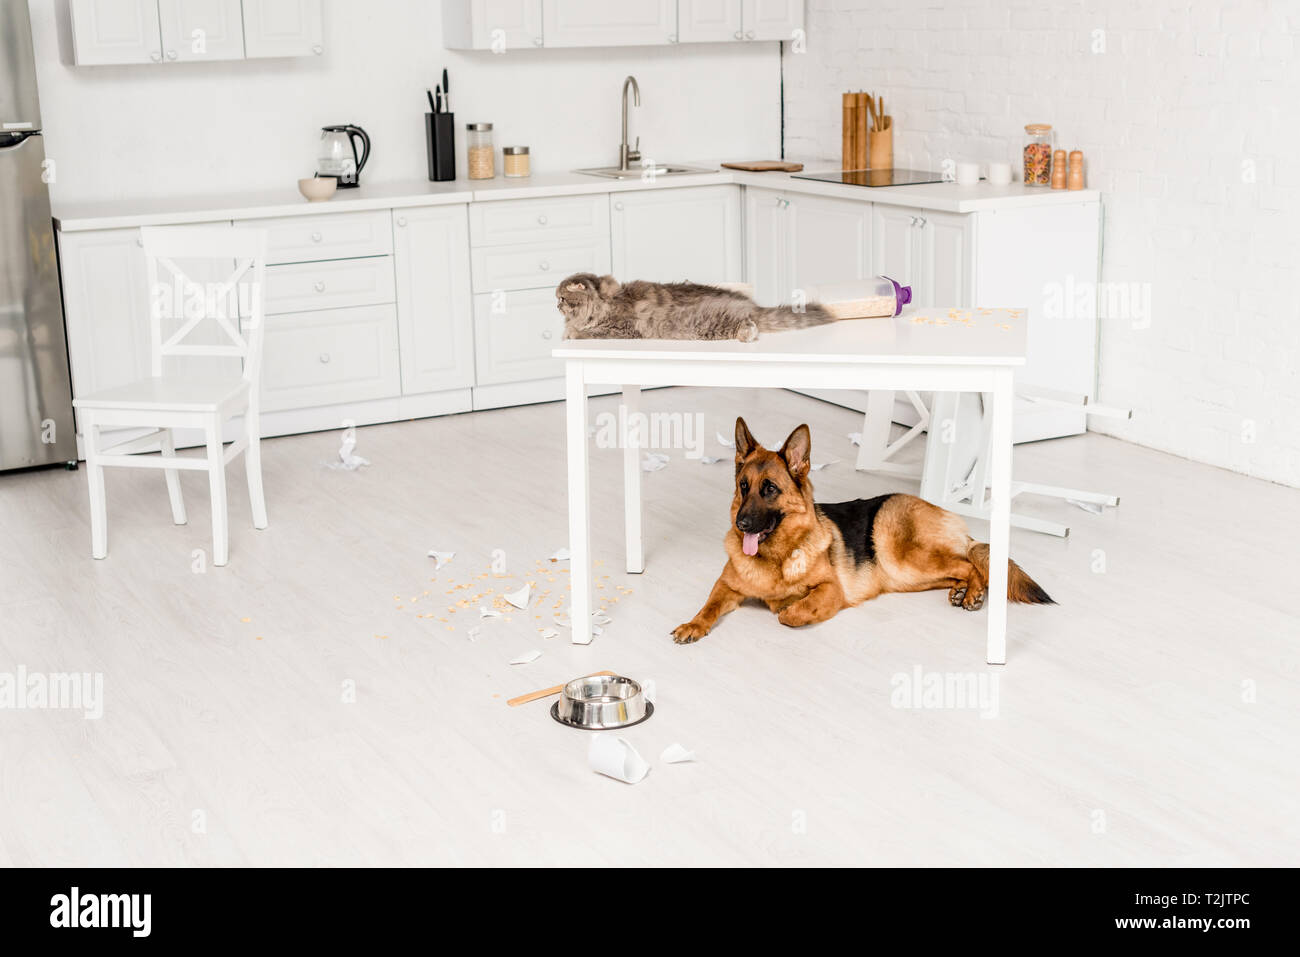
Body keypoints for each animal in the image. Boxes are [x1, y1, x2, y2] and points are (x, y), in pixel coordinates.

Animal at [556, 270, 832, 343]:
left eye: (561, 298)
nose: (555, 305)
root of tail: (752, 305)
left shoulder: (622, 328)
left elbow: (587, 331)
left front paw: (570, 332)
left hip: (712, 324)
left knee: (749, 326)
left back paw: (746, 335)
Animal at [670, 416, 1055, 642]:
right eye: (743, 486)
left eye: (770, 489)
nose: (741, 524)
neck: (777, 557)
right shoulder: (725, 586)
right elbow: (708, 605)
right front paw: (693, 624)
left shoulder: (830, 589)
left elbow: (792, 613)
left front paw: (788, 608)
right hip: (906, 576)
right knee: (960, 567)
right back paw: (962, 591)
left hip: (902, 556)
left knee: (970, 562)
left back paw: (973, 593)